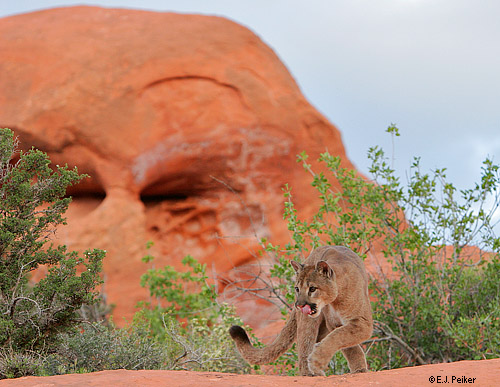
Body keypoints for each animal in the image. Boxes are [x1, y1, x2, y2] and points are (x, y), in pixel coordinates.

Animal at [229, 247, 374, 378]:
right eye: (297, 288)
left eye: (312, 288)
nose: (298, 305)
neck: (336, 299)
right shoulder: (334, 323)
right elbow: (345, 342)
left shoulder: (361, 322)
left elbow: (340, 337)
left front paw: (358, 369)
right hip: (308, 322)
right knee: (305, 343)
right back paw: (309, 372)